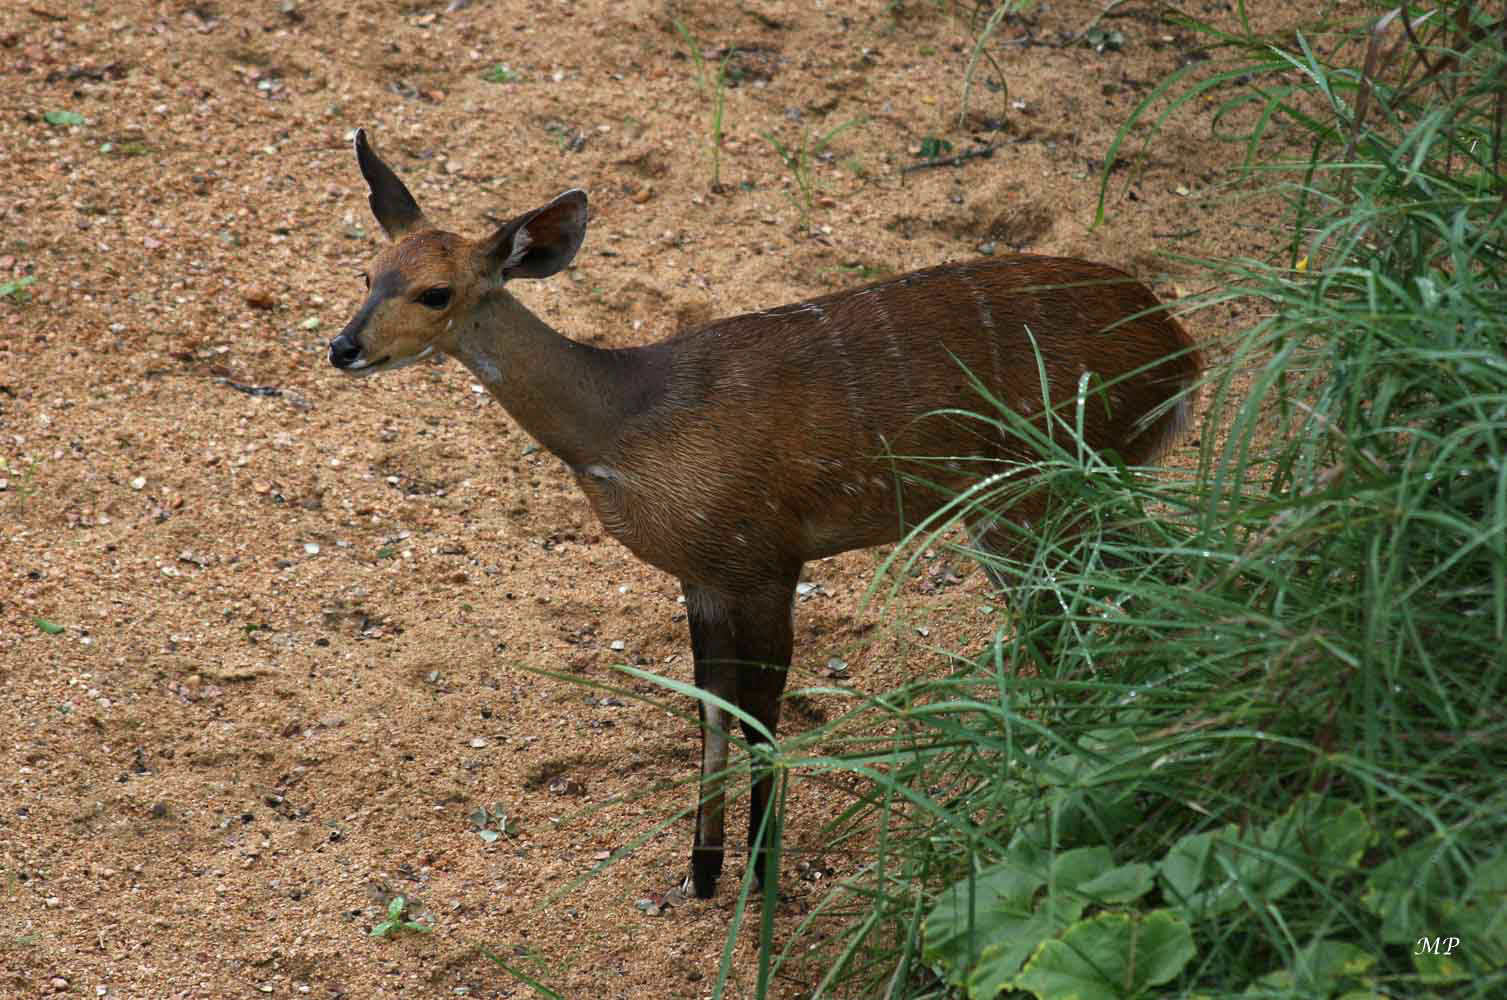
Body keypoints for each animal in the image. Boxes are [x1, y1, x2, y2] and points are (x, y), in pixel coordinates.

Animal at [328, 128, 1201, 899]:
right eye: (368, 272)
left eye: (435, 292)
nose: (343, 348)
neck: (626, 423)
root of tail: (1181, 352)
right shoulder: (703, 576)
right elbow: (710, 708)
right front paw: (702, 873)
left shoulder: (765, 559)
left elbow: (761, 719)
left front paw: (760, 879)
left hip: (1036, 491)